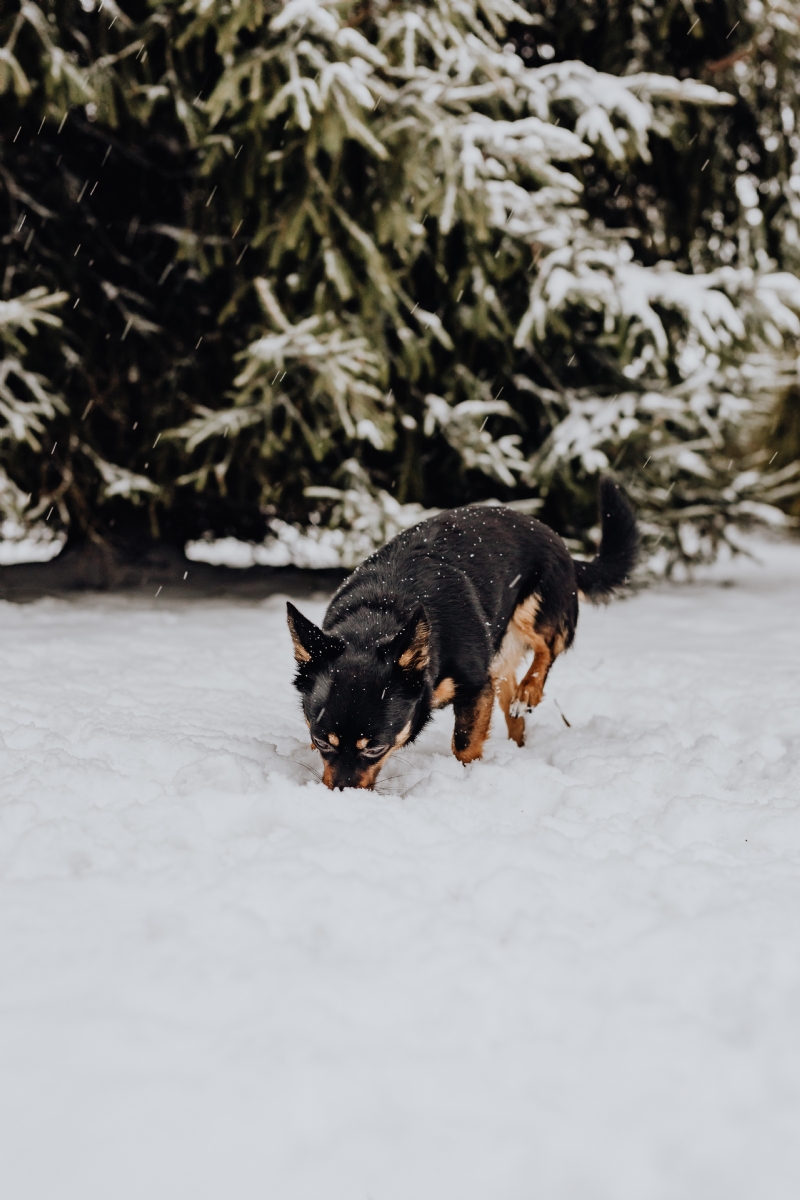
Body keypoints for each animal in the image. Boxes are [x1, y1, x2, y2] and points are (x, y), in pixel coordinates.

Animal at [287, 472, 638, 792]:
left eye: (375, 748)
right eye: (321, 741)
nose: (341, 795)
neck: (379, 613)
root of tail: (556, 537)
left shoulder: (476, 688)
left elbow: (465, 742)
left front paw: (468, 776)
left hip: (534, 611)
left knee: (548, 648)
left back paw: (529, 690)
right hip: (500, 657)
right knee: (513, 705)